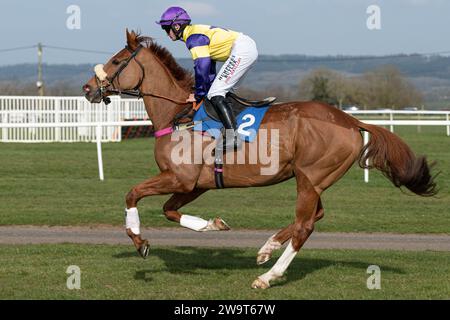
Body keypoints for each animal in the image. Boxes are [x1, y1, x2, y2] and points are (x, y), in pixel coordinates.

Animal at [81, 30, 436, 290]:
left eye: (116, 61)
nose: (87, 88)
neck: (178, 114)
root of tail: (351, 121)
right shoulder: (195, 184)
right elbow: (169, 210)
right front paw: (212, 224)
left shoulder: (179, 178)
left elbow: (132, 194)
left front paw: (139, 241)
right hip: (312, 180)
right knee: (315, 216)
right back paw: (267, 247)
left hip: (310, 179)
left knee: (306, 225)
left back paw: (268, 277)